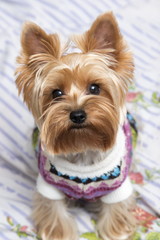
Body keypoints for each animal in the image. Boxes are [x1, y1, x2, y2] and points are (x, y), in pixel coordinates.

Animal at [15, 12, 136, 240]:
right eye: (56, 93)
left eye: (95, 88)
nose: (77, 114)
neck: (82, 147)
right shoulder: (49, 184)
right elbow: (53, 208)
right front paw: (58, 232)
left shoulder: (118, 185)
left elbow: (115, 209)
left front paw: (115, 231)